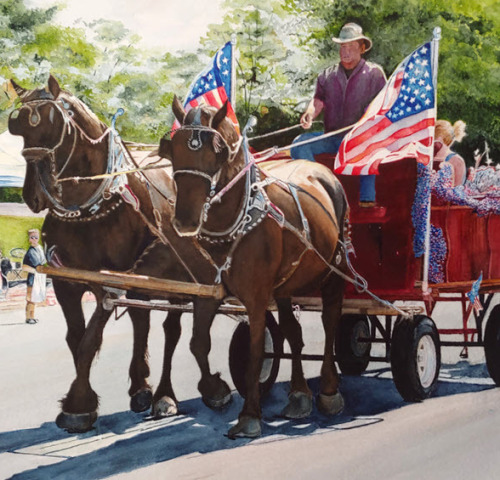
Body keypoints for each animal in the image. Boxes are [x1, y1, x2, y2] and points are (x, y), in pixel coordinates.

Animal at [7, 78, 231, 432]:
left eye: (52, 123)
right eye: (16, 126)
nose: (34, 195)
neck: (89, 208)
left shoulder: (110, 282)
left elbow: (90, 340)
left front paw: (77, 406)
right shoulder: (67, 283)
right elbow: (76, 339)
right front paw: (83, 399)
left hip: (183, 275)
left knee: (174, 329)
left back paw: (170, 394)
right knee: (146, 322)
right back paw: (144, 388)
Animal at [160, 97, 348, 438]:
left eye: (217, 150)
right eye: (172, 148)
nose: (185, 220)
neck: (239, 213)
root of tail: (323, 171)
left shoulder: (257, 297)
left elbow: (256, 351)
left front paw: (249, 414)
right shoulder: (208, 294)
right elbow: (198, 344)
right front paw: (216, 391)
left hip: (333, 271)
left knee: (330, 322)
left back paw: (329, 390)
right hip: (287, 284)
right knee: (293, 332)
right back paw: (299, 395)